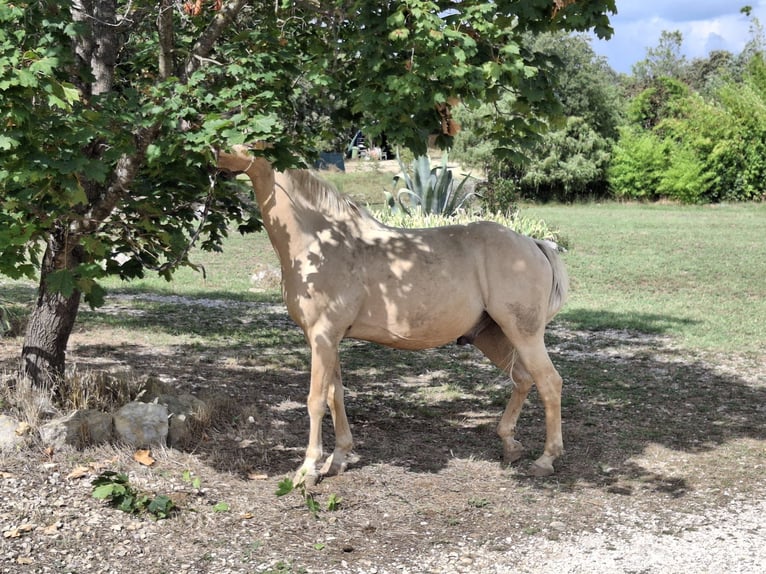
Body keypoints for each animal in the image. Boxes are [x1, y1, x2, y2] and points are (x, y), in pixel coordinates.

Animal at [216, 146, 568, 484]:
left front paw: (308, 470)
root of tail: (533, 243)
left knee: (549, 383)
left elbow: (316, 401)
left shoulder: (322, 336)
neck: (321, 243)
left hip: (524, 334)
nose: (216, 158)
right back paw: (510, 446)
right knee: (522, 379)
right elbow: (335, 395)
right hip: (491, 335)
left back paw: (546, 460)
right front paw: (338, 459)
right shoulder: (330, 340)